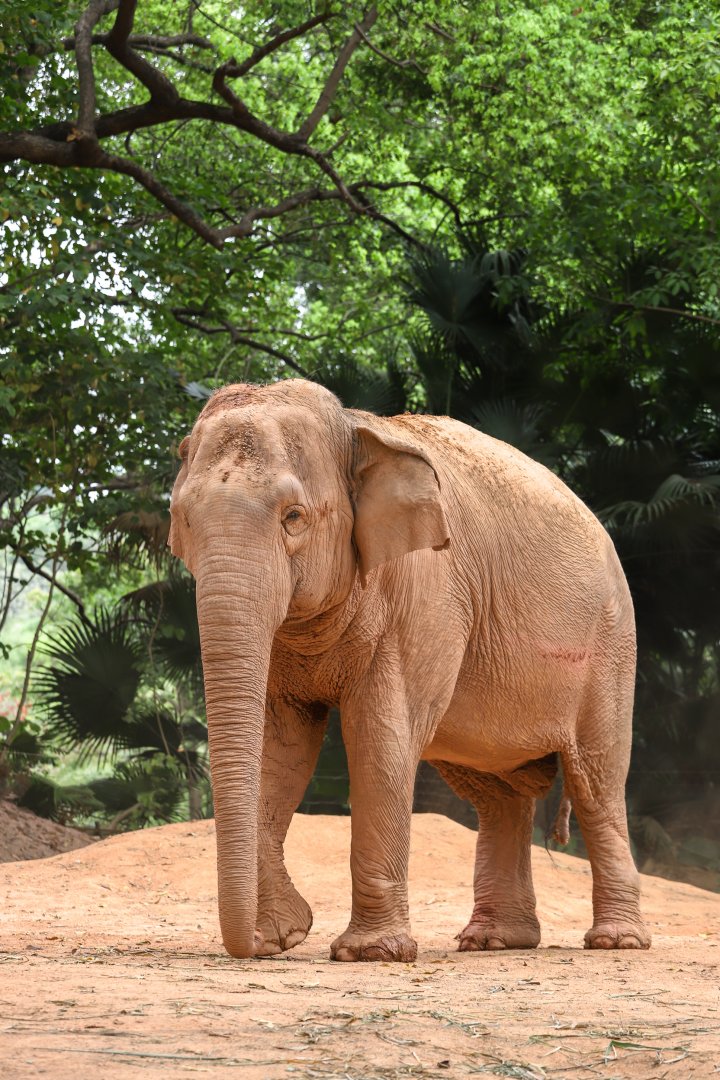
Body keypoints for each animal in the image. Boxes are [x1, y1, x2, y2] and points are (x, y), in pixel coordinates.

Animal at [169, 377, 650, 961]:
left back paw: (616, 941)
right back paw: (493, 941)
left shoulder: (424, 591)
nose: (258, 943)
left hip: (610, 646)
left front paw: (368, 953)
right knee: (498, 797)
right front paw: (281, 933)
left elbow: (380, 736)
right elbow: (282, 747)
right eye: (183, 520)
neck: (356, 427)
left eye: (294, 517)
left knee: (597, 782)